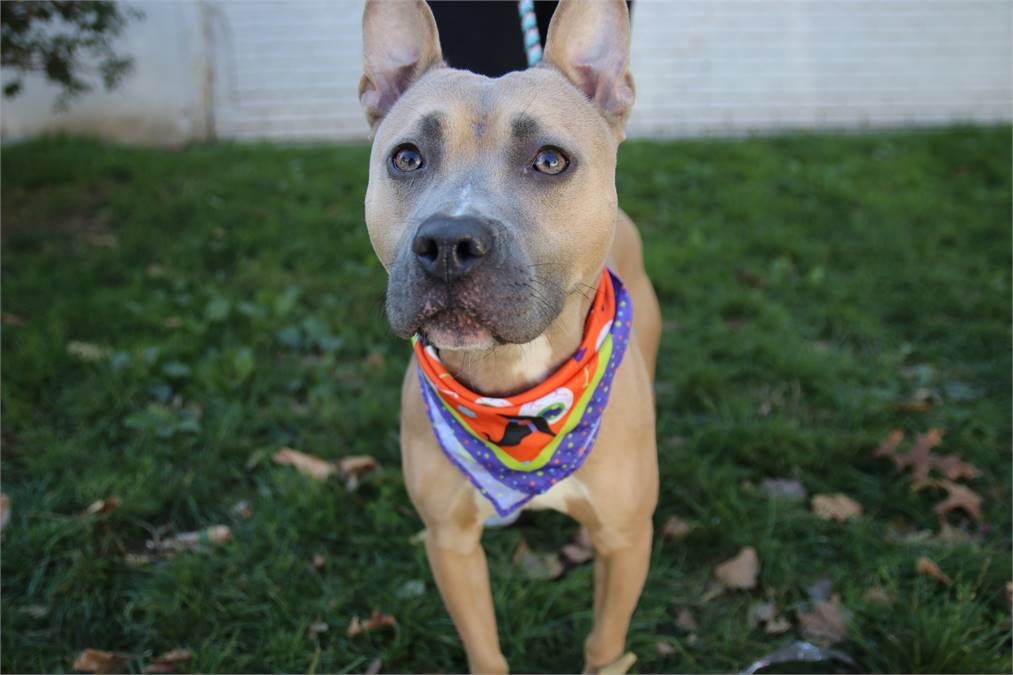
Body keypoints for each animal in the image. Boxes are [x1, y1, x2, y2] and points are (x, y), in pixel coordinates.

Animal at [360, 2, 660, 668]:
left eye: (550, 160)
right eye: (407, 157)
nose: (448, 243)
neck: (511, 387)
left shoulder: (625, 541)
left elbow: (605, 644)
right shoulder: (450, 543)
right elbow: (486, 650)